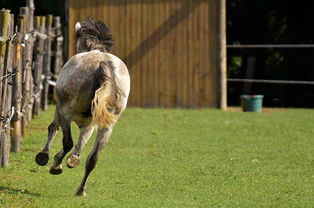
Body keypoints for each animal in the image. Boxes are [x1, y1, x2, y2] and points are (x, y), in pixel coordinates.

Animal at [35, 17, 130, 197]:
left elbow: (54, 129)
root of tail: (102, 64)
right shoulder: (90, 124)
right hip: (107, 127)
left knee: (67, 142)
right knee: (93, 159)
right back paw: (80, 190)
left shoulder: (60, 111)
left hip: (65, 112)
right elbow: (81, 142)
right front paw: (73, 159)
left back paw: (56, 166)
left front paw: (45, 156)